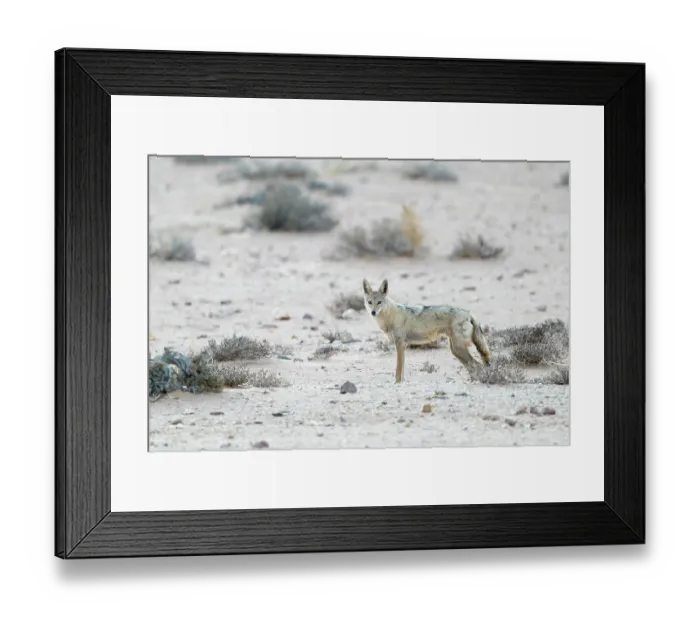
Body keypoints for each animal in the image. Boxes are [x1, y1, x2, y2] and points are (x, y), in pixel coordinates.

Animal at [362, 278, 491, 383]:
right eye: (370, 302)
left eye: (379, 302)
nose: (373, 312)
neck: (389, 317)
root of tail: (469, 313)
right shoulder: (402, 346)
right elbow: (402, 369)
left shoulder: (400, 344)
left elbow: (398, 369)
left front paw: (397, 383)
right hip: (455, 350)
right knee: (473, 366)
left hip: (459, 349)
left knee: (478, 365)